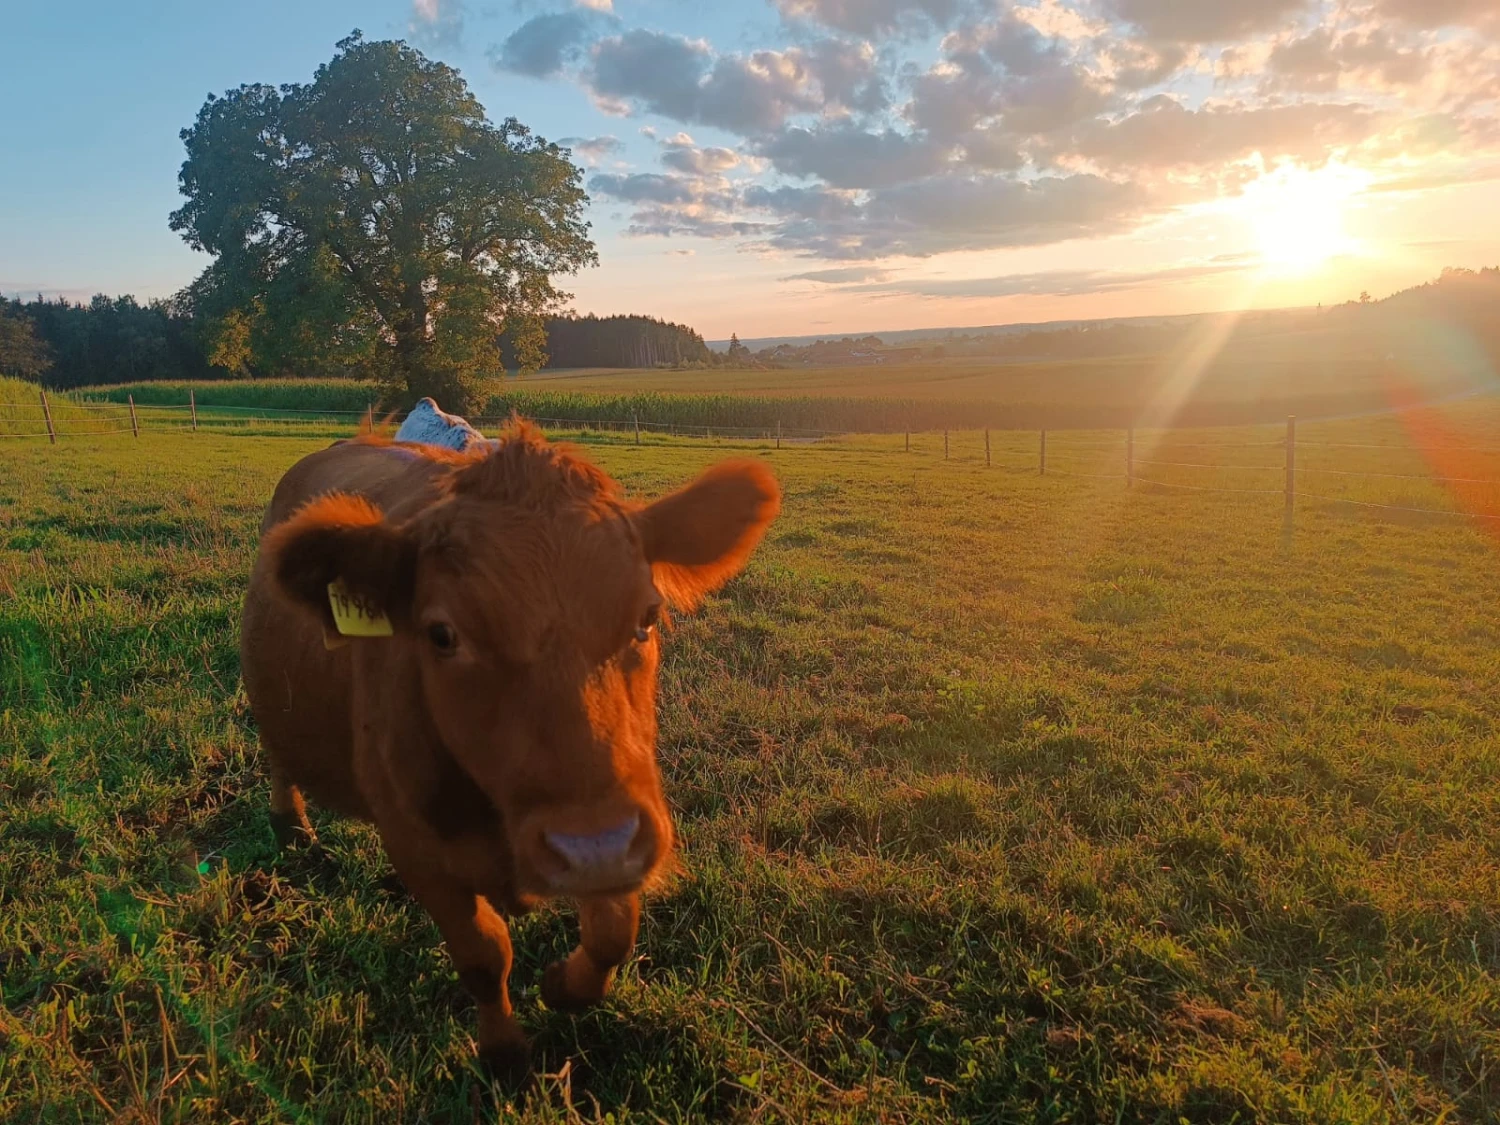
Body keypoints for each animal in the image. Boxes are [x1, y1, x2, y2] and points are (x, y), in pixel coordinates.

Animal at [240, 426, 780, 1080]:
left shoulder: (626, 811)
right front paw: (503, 1054)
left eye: (648, 616)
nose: (591, 847)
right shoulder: (417, 850)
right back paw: (290, 822)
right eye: (441, 635)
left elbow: (613, 930)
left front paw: (562, 985)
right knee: (278, 755)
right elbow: (482, 954)